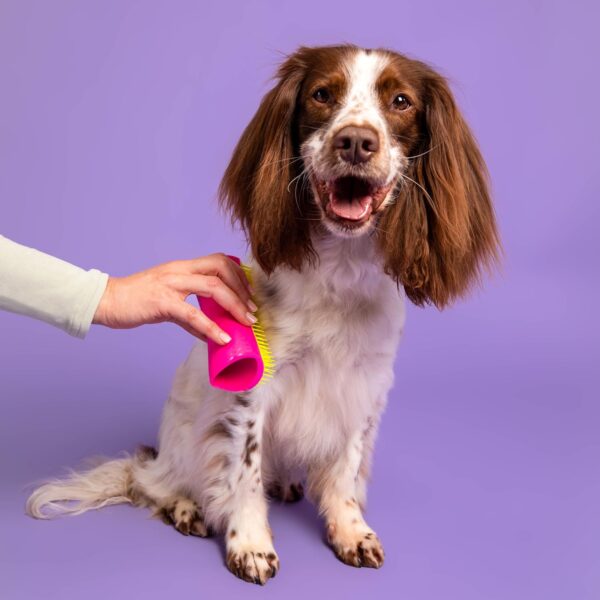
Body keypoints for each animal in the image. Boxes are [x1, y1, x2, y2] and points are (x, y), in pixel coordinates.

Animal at [27, 47, 496, 584]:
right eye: (322, 94)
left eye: (400, 101)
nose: (356, 141)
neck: (340, 271)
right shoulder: (255, 390)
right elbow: (243, 471)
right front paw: (250, 542)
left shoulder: (365, 385)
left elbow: (347, 468)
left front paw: (350, 530)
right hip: (180, 445)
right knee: (152, 482)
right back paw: (186, 506)